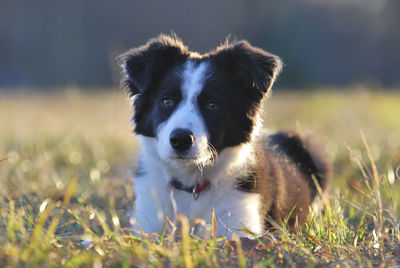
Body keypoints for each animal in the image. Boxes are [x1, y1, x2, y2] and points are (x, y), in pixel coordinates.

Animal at [118, 33, 332, 237]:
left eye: (212, 104)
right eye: (167, 101)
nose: (180, 140)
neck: (192, 186)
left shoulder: (239, 226)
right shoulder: (148, 223)